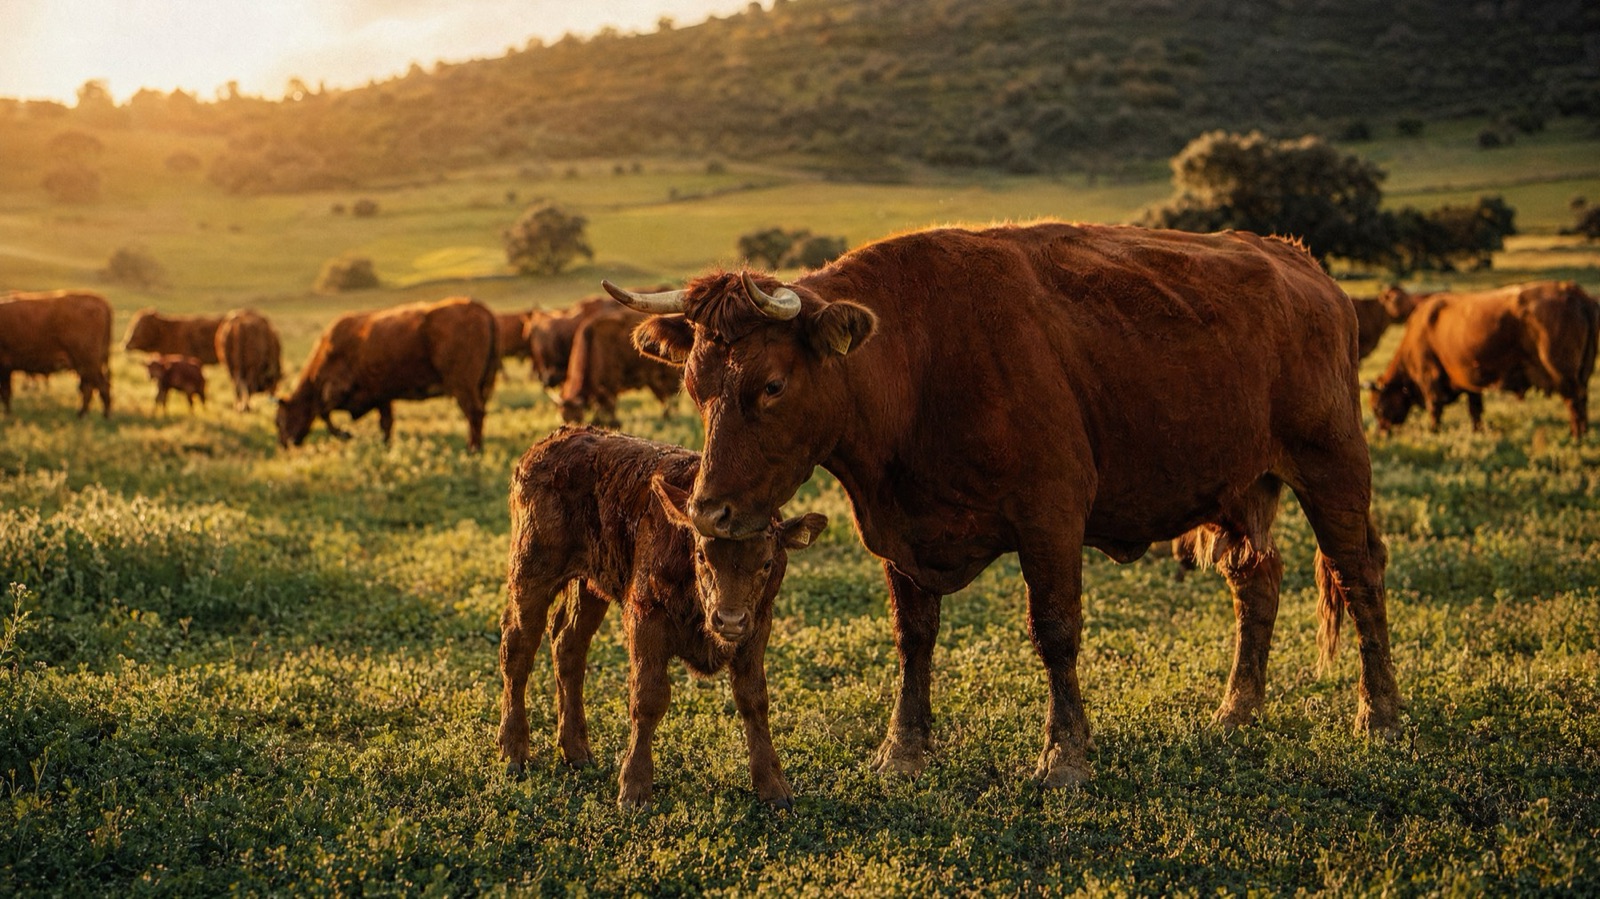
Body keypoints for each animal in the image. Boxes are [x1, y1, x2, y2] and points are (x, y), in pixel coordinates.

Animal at [0, 289, 112, 418]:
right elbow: (6, 393)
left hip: (88, 363)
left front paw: (7, 415)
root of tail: (101, 301)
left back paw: (101, 416)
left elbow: (5, 392)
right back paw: (82, 414)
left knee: (100, 386)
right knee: (89, 387)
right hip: (86, 366)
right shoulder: (6, 369)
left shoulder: (4, 367)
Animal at [275, 296, 499, 452]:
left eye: (279, 421)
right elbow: (386, 423)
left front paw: (346, 434)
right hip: (481, 386)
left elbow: (324, 413)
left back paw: (473, 449)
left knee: (474, 413)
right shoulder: (381, 395)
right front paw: (386, 445)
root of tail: (479, 308)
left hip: (463, 386)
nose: (284, 445)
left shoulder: (341, 389)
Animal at [497, 426, 827, 809]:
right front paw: (635, 788)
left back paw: (577, 751)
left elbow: (753, 699)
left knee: (568, 647)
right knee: (518, 649)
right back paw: (514, 751)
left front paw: (774, 787)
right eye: (701, 555)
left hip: (589, 585)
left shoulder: (758, 626)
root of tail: (551, 443)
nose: (729, 620)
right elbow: (649, 698)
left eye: (767, 562)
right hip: (532, 574)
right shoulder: (646, 619)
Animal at [606, 222, 1403, 788]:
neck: (918, 361)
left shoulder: (1050, 517)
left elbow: (1055, 632)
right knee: (1256, 579)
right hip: (1238, 485)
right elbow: (914, 637)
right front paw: (902, 749)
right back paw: (1238, 710)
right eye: (695, 383)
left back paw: (1381, 714)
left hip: (1333, 464)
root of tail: (1298, 262)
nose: (710, 512)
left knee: (1359, 573)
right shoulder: (899, 534)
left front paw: (1065, 757)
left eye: (771, 384)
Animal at [1368, 280, 1599, 440]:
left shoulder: (1429, 378)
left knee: (1574, 402)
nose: (1381, 433)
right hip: (1581, 374)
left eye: (1378, 407)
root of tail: (1573, 292)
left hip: (1562, 373)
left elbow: (1435, 409)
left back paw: (1576, 436)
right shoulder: (1470, 382)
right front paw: (1477, 431)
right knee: (1581, 400)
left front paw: (1433, 432)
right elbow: (1475, 410)